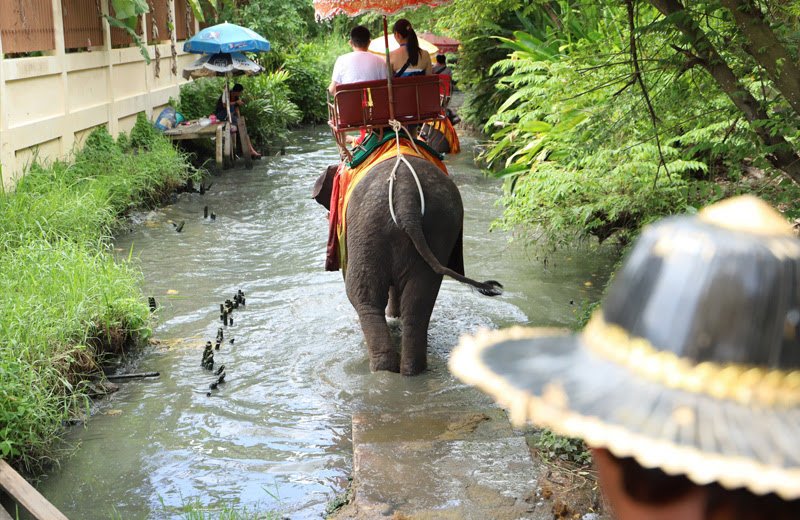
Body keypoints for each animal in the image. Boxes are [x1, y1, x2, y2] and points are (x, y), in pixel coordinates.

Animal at [312, 152, 500, 376]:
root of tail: (406, 198)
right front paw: (394, 318)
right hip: (439, 228)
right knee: (419, 303)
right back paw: (411, 371)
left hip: (366, 228)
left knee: (364, 298)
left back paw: (383, 369)